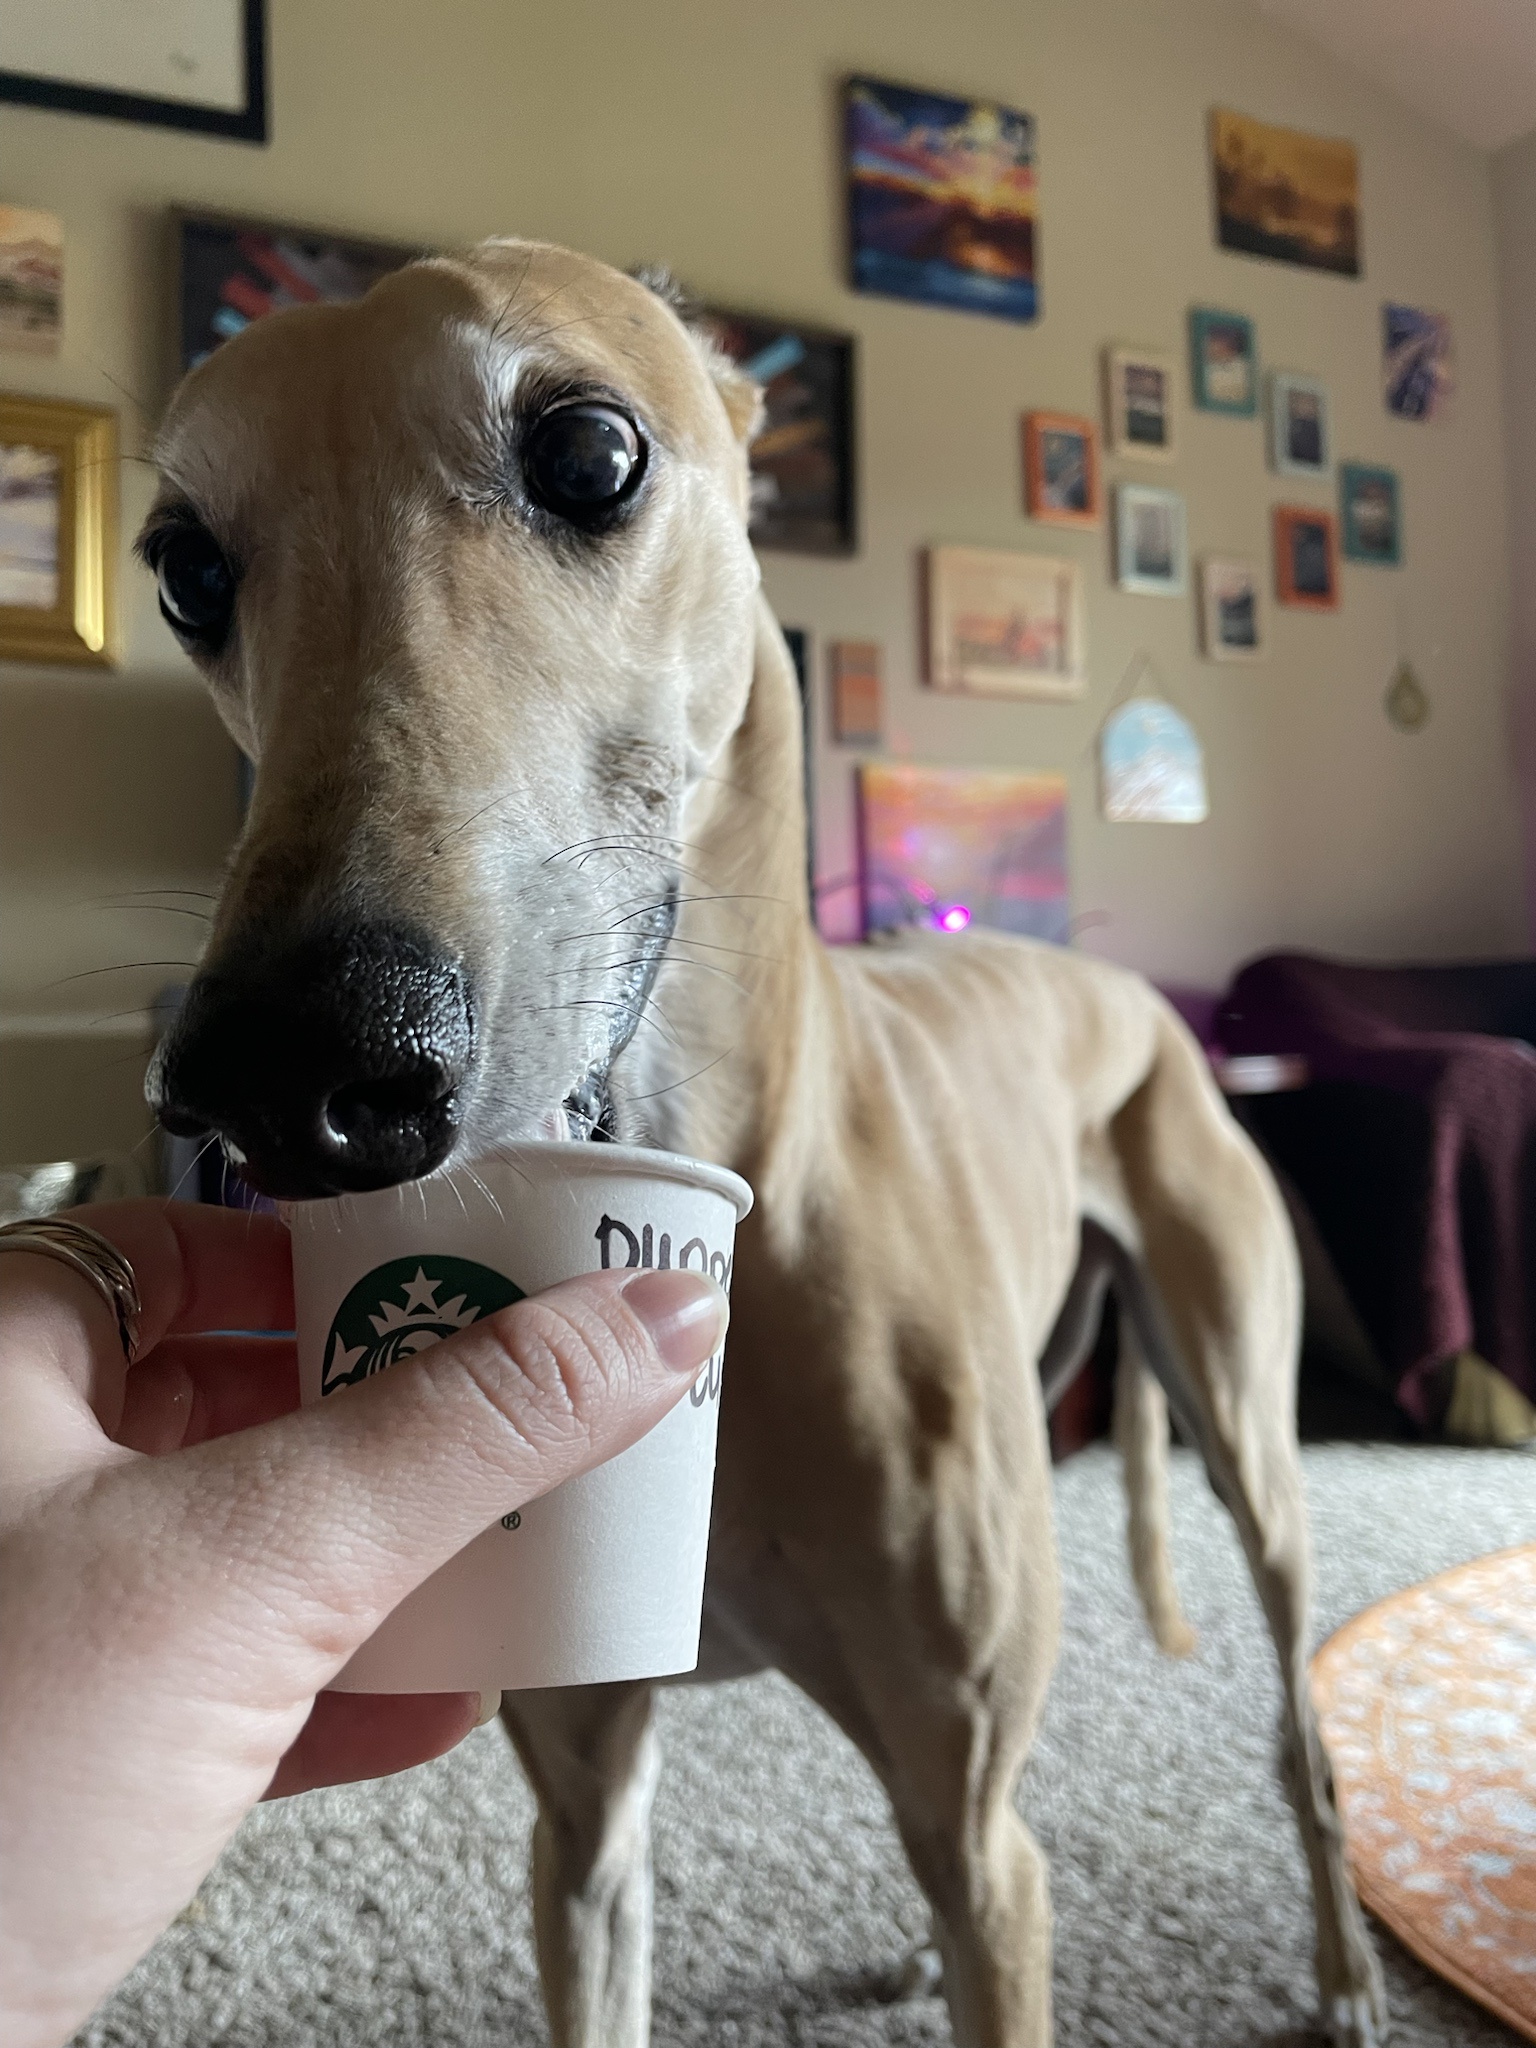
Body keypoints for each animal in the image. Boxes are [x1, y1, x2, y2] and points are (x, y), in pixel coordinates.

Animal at [144, 243, 1392, 2048]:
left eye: (590, 451)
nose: (285, 1072)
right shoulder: (585, 1816)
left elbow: (997, 1864)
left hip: (1244, 1432)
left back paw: (1346, 1968)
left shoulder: (985, 1824)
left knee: (1293, 1721)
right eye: (183, 565)